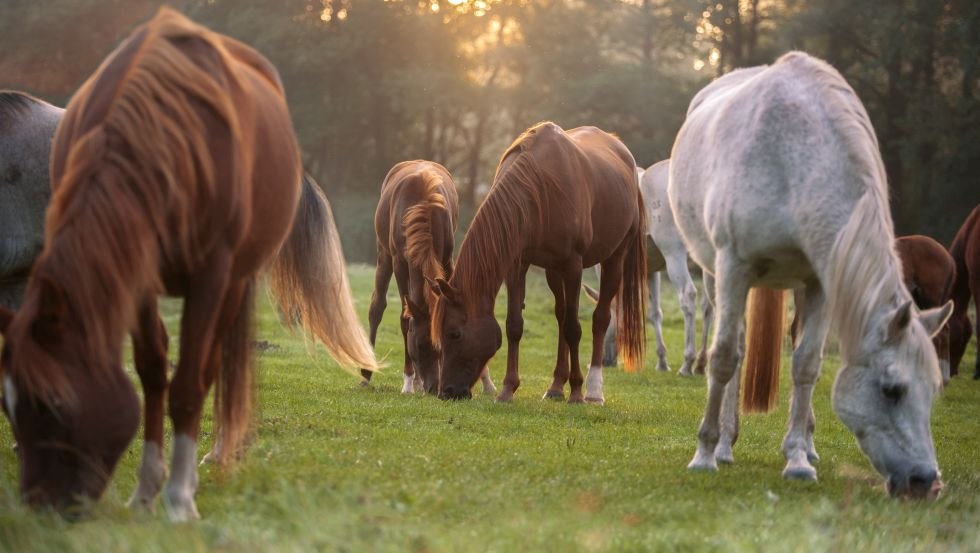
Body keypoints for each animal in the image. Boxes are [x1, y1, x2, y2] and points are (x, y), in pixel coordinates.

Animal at [365, 160, 495, 395]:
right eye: (419, 345)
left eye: (444, 344)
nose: (434, 387)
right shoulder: (400, 262)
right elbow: (405, 318)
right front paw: (408, 382)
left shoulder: (447, 259)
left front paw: (486, 381)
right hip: (383, 254)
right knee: (377, 306)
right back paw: (368, 375)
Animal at [430, 122, 646, 404]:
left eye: (454, 333)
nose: (446, 391)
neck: (538, 187)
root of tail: (623, 153)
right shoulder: (517, 264)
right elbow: (514, 325)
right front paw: (508, 390)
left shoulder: (573, 266)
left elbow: (574, 328)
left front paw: (576, 392)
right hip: (553, 271)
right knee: (561, 315)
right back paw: (555, 386)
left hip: (614, 258)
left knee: (599, 318)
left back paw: (593, 391)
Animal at [590, 161, 713, 375]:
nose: (606, 360)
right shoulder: (652, 271)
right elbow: (655, 312)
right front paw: (662, 361)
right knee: (709, 305)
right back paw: (701, 364)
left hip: (674, 253)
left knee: (688, 295)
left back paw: (687, 363)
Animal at [670, 51, 951, 499]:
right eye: (891, 389)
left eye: (934, 390)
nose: (926, 482)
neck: (791, 159)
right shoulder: (734, 267)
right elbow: (725, 356)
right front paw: (704, 454)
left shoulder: (821, 282)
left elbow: (807, 364)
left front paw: (798, 460)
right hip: (717, 277)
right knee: (736, 349)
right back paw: (726, 445)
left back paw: (807, 444)